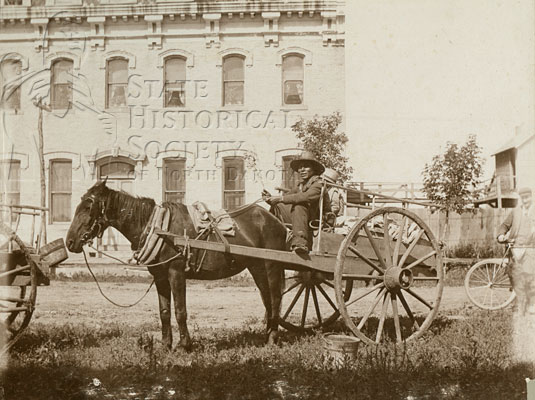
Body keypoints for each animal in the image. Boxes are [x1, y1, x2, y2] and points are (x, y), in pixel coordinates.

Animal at [67, 181, 288, 350]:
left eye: (88, 207)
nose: (70, 242)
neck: (158, 228)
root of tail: (274, 219)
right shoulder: (160, 276)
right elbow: (164, 312)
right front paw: (166, 345)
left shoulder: (176, 273)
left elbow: (180, 311)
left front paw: (184, 345)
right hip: (256, 267)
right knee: (267, 300)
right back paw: (267, 336)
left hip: (271, 266)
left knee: (275, 299)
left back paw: (273, 339)